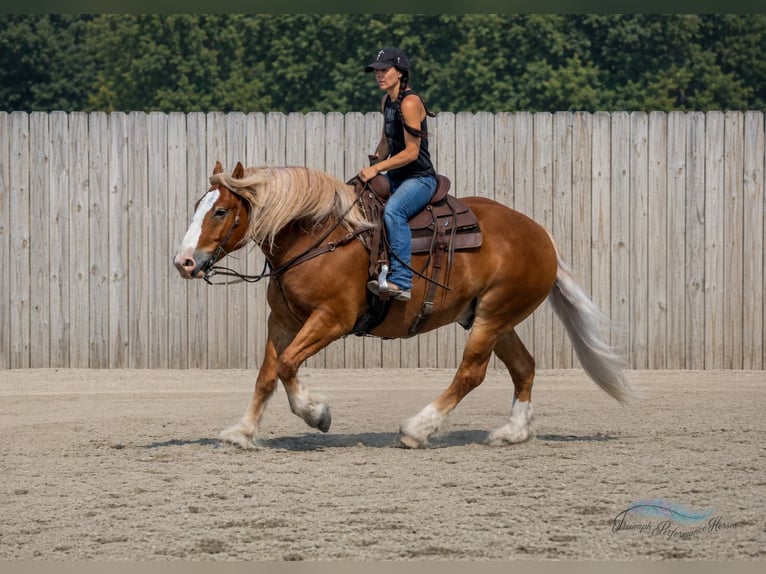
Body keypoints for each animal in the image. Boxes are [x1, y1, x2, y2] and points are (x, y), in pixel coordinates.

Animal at [173, 161, 634, 449]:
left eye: (219, 211)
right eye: (196, 207)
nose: (184, 261)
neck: (316, 235)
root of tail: (541, 235)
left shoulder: (332, 319)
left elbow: (287, 365)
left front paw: (317, 413)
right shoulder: (283, 320)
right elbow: (267, 375)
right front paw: (243, 432)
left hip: (492, 317)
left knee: (471, 373)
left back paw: (417, 428)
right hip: (492, 318)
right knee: (524, 367)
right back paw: (512, 432)